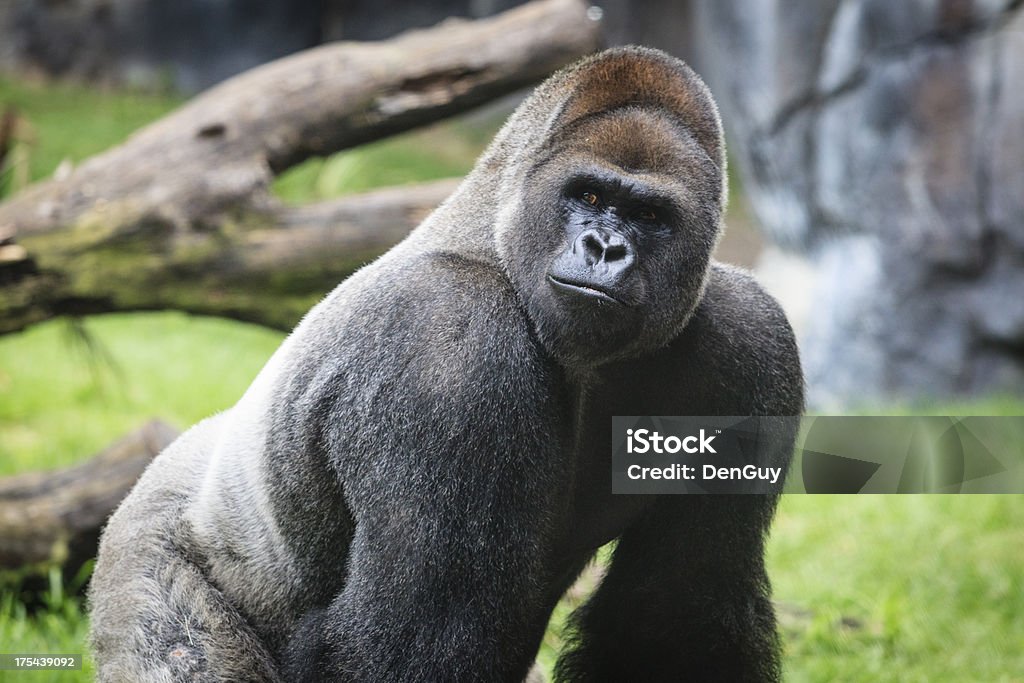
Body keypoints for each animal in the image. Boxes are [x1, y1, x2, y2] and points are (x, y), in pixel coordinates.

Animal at [88, 45, 802, 679]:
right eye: (591, 197)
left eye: (649, 214)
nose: (604, 248)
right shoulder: (449, 339)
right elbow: (414, 639)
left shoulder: (751, 340)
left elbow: (676, 614)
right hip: (147, 554)